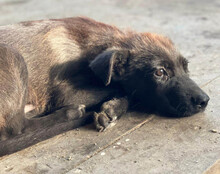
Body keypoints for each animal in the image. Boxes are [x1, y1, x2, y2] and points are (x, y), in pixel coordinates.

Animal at [0, 17, 210, 155]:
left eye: (186, 67)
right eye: (159, 72)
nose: (205, 101)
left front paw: (112, 110)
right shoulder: (65, 93)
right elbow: (126, 91)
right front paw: (112, 108)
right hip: (12, 56)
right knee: (17, 128)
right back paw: (71, 113)